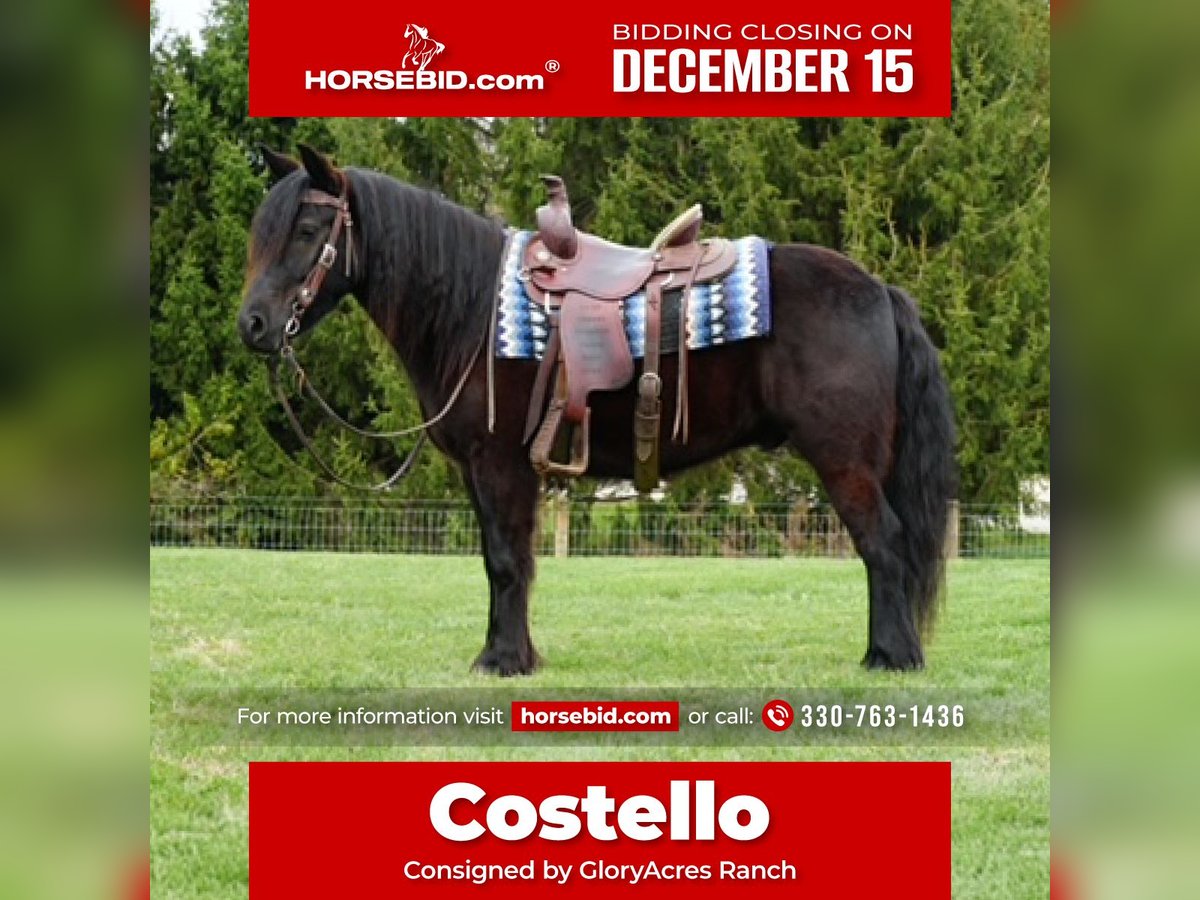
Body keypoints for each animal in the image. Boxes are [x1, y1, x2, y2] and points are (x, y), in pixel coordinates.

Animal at [238, 145, 956, 676]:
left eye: (308, 230)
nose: (254, 325)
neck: (472, 308)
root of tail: (880, 289)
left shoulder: (500, 465)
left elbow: (505, 560)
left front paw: (502, 660)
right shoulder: (486, 473)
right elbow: (505, 558)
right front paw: (516, 654)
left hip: (845, 462)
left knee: (883, 543)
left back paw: (890, 657)